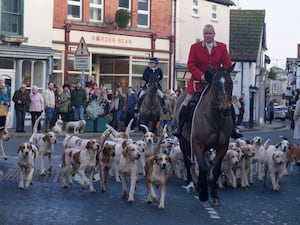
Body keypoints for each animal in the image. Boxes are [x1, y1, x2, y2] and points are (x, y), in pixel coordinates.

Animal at [173, 63, 234, 206]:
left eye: (231, 83)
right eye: (216, 85)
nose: (225, 109)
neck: (216, 118)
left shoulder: (223, 146)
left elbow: (215, 170)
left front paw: (214, 195)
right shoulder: (197, 144)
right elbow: (203, 167)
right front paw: (204, 194)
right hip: (184, 141)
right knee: (188, 161)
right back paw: (191, 184)